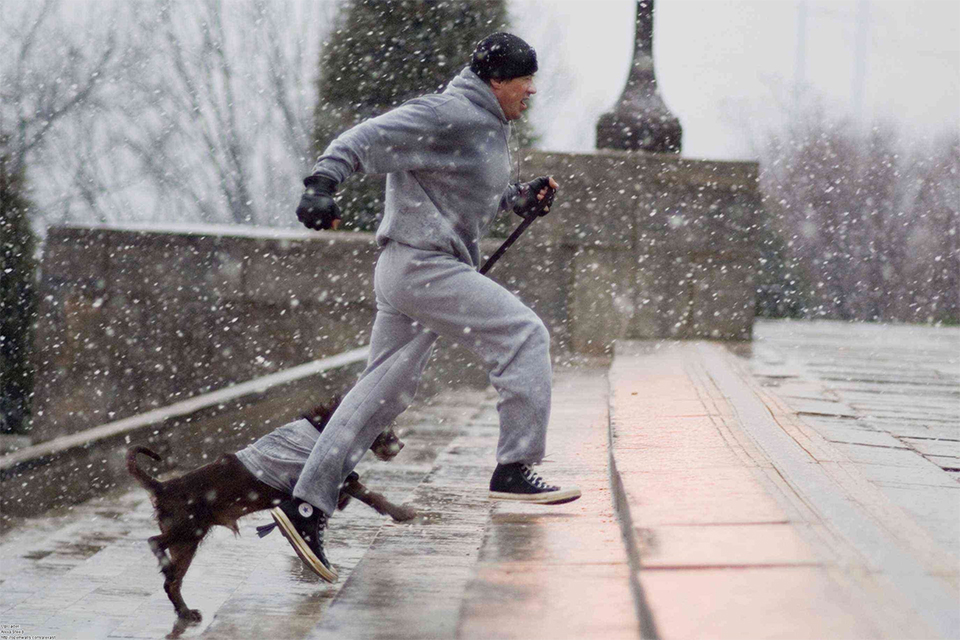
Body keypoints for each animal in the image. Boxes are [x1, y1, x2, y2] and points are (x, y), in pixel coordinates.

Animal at [127, 400, 412, 620]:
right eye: (385, 426)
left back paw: (185, 612)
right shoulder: (333, 477)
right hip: (188, 529)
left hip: (186, 542)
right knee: (155, 543)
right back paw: (168, 575)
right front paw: (402, 513)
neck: (324, 427)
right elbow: (371, 496)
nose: (401, 445)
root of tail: (162, 487)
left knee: (171, 582)